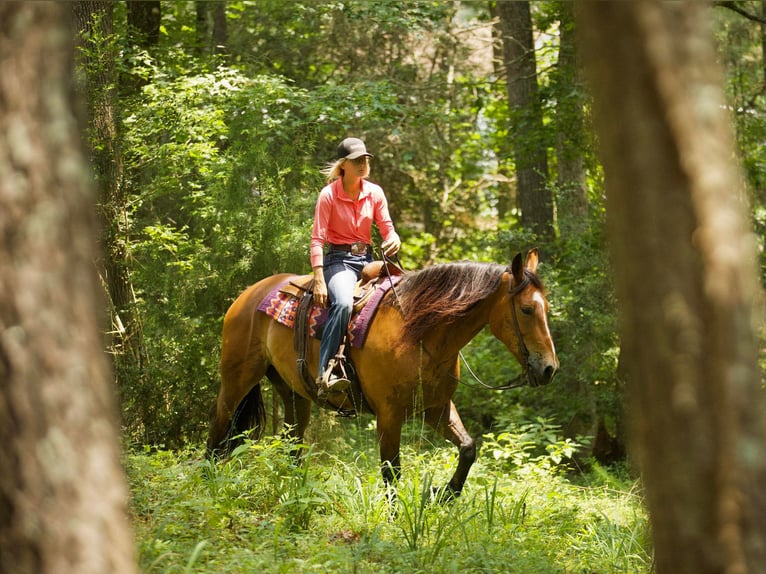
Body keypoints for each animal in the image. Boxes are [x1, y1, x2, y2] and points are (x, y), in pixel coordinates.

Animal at [208, 250, 560, 498]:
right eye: (527, 309)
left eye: (546, 308)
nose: (549, 368)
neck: (418, 333)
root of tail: (249, 294)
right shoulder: (389, 416)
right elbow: (392, 472)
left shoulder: (436, 409)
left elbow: (468, 449)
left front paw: (445, 494)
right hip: (237, 380)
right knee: (218, 426)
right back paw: (206, 483)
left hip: (295, 394)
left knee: (292, 443)